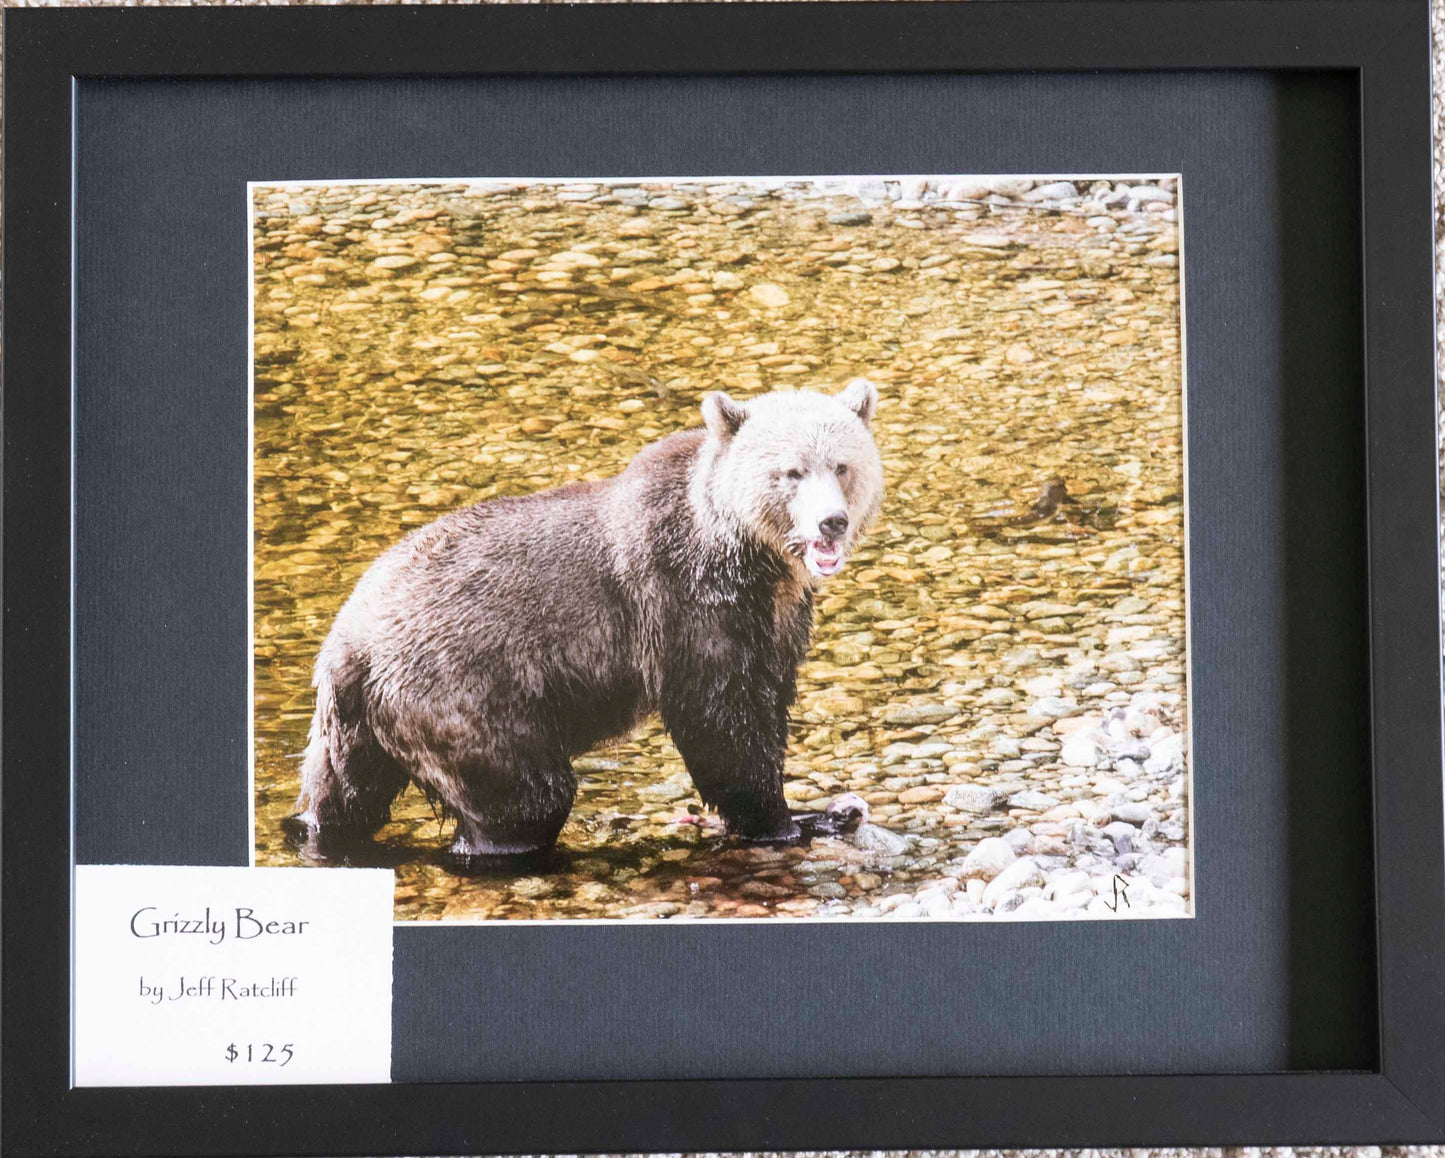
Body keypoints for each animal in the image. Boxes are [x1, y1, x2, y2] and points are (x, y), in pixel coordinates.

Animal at [284, 377, 885, 864]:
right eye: (791, 471)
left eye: (842, 465)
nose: (831, 522)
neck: (754, 558)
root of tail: (346, 644)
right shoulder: (687, 601)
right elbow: (720, 718)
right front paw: (794, 819)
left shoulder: (775, 618)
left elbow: (769, 697)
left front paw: (821, 806)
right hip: (460, 692)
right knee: (526, 797)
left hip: (356, 722)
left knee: (345, 791)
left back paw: (317, 827)